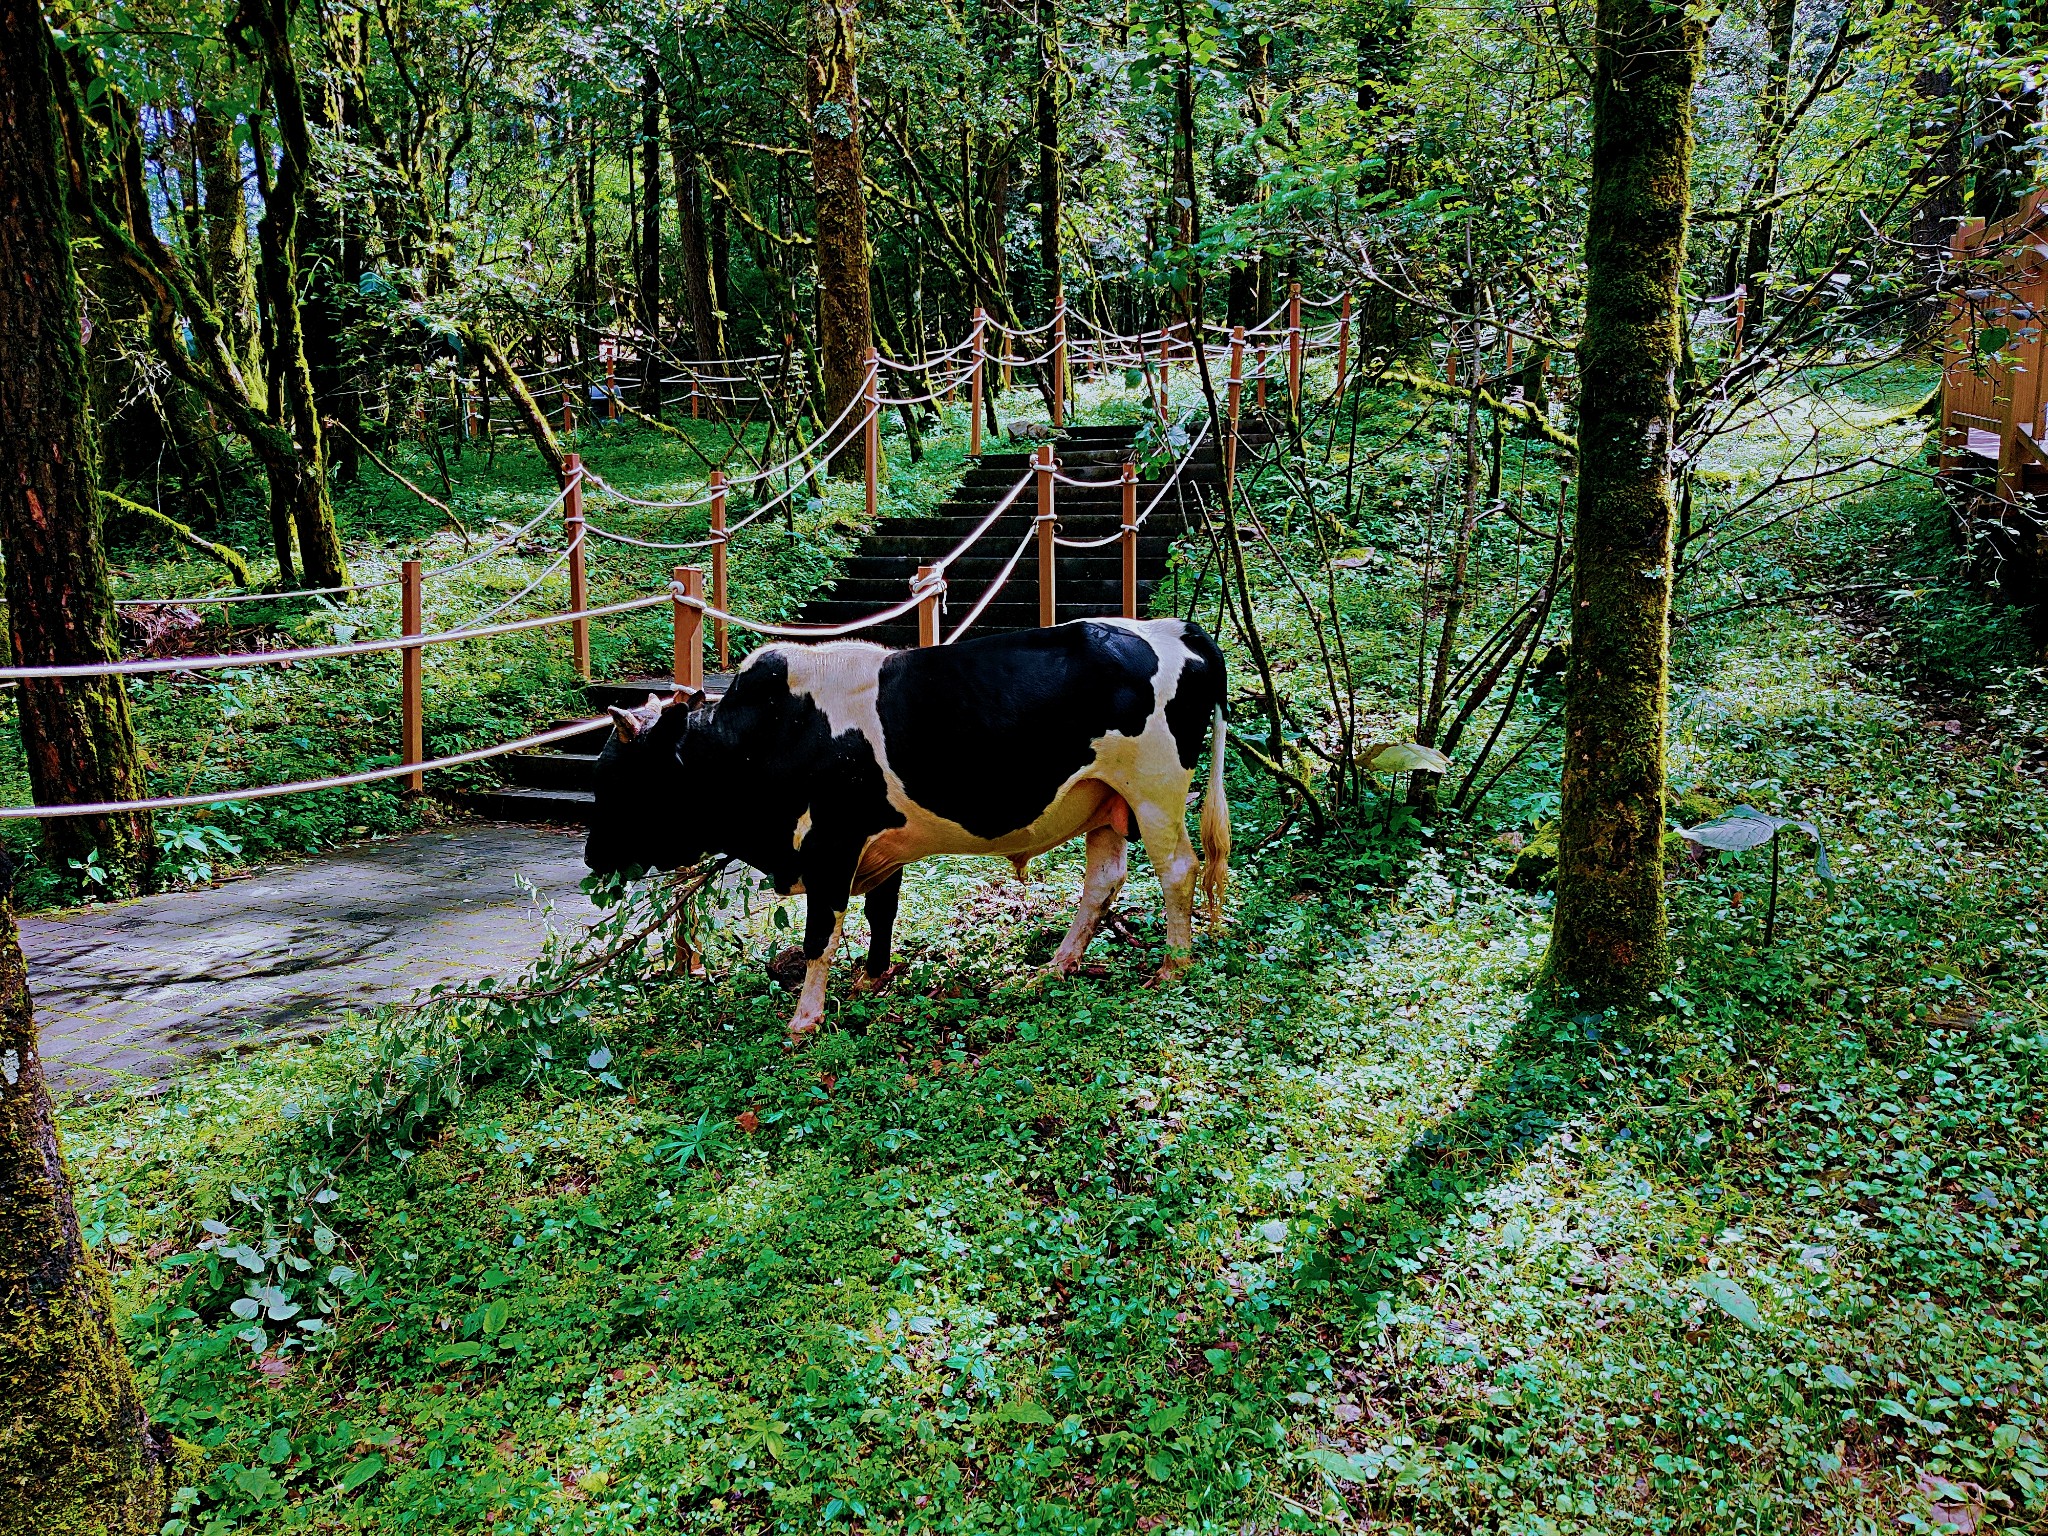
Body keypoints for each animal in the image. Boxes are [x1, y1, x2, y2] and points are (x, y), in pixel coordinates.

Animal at [589, 618, 1228, 1040]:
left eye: (616, 777)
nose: (594, 856)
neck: (770, 733)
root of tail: (1178, 629)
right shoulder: (880, 846)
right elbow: (881, 913)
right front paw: (871, 981)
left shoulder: (831, 844)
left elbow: (821, 934)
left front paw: (805, 1019)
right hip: (1106, 800)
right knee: (1103, 880)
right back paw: (1056, 966)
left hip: (1154, 791)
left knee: (1177, 870)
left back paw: (1173, 965)